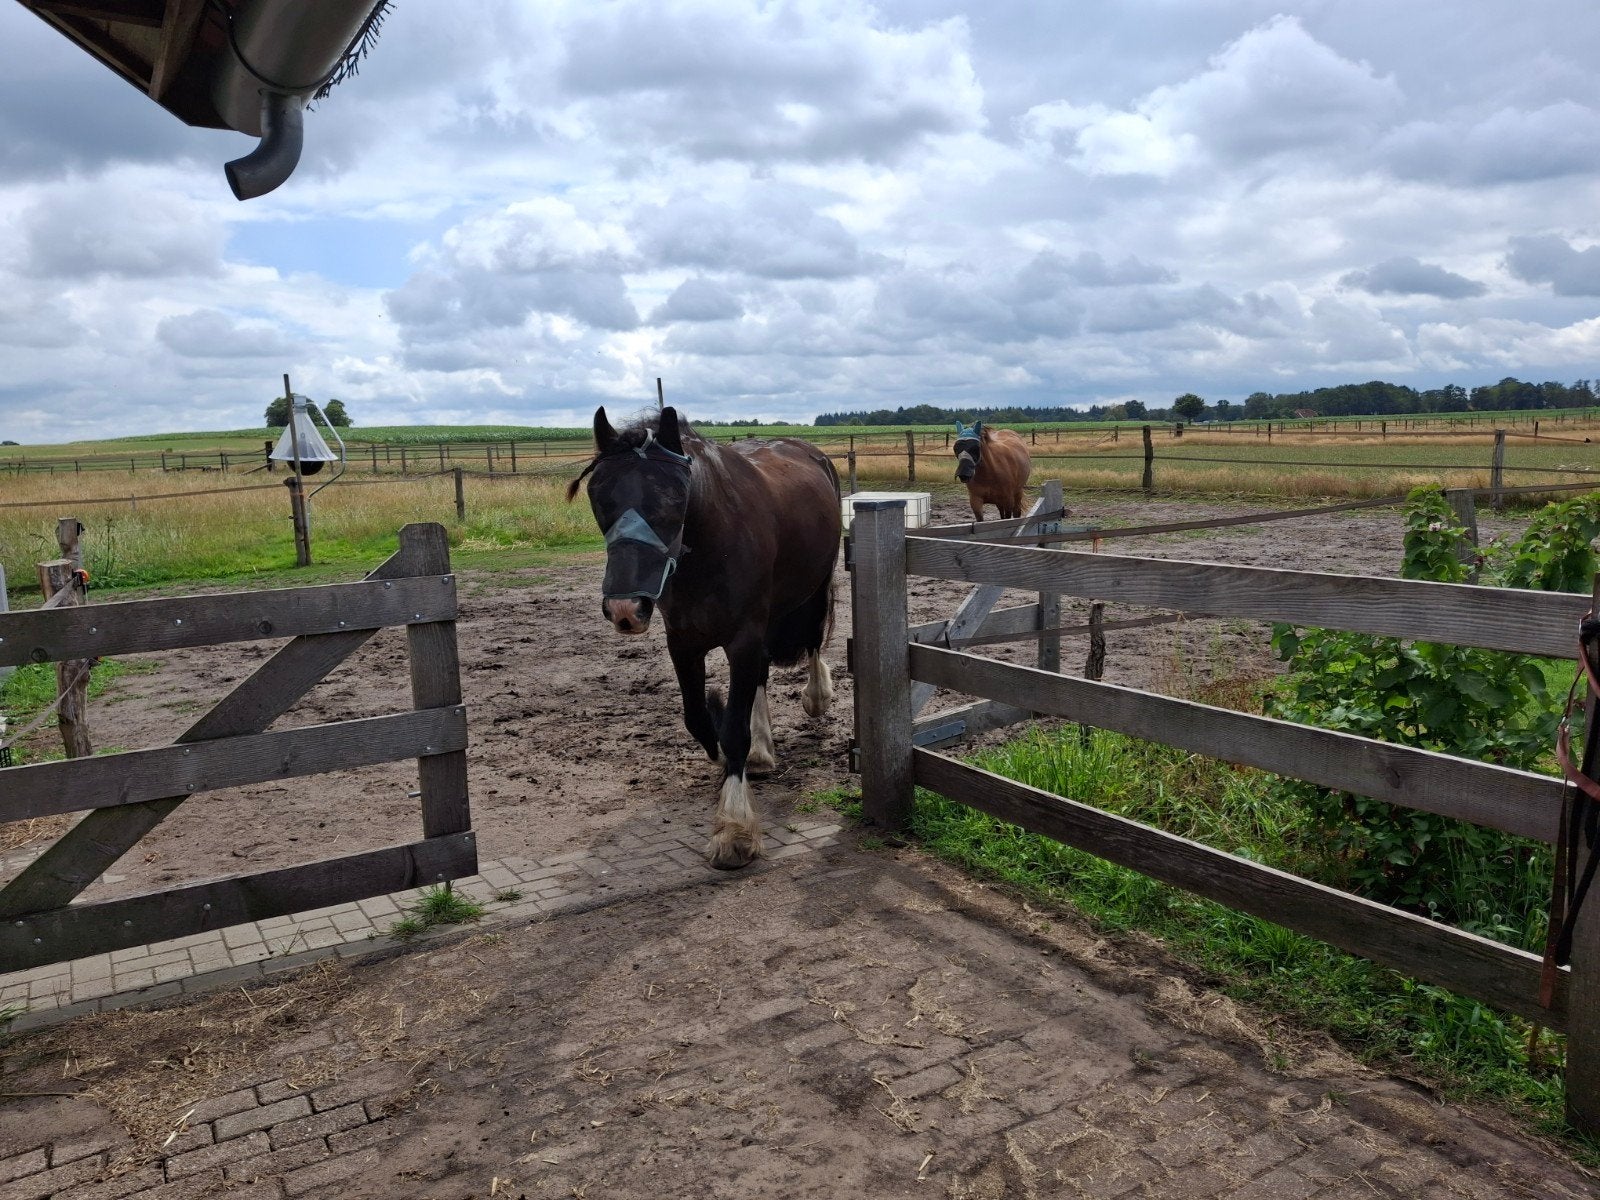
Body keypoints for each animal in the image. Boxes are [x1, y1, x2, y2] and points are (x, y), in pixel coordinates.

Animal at [568, 406, 841, 869]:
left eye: (674, 498)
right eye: (598, 494)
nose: (625, 608)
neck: (712, 545)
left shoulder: (743, 638)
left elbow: (733, 730)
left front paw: (734, 828)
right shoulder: (683, 642)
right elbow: (699, 719)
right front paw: (725, 746)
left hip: (815, 586)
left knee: (813, 637)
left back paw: (816, 695)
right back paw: (762, 751)